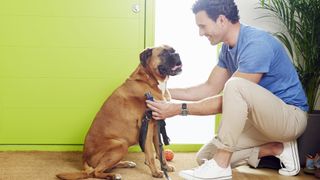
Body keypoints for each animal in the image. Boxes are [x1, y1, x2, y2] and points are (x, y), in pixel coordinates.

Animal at [57, 45, 182, 180]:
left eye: (173, 50)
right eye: (163, 53)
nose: (177, 54)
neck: (150, 79)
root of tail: (84, 158)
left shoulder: (156, 126)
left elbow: (160, 151)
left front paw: (166, 167)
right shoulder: (147, 127)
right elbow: (150, 153)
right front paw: (156, 172)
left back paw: (126, 163)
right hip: (120, 144)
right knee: (95, 172)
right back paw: (113, 175)